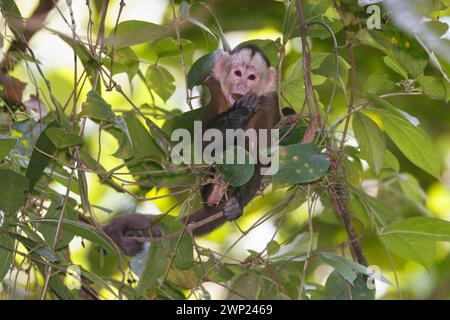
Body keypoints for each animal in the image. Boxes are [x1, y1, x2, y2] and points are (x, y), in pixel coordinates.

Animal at [103, 44, 294, 255]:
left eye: (251, 77)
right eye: (237, 73)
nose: (242, 86)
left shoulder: (267, 103)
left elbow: (259, 153)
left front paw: (238, 201)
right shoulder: (212, 89)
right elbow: (204, 141)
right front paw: (239, 112)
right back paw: (214, 191)